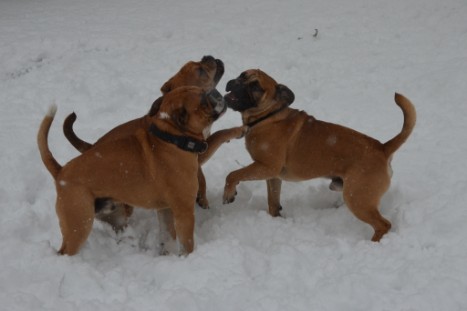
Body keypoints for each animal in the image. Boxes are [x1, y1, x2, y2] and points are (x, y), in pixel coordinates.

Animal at [38, 86, 227, 256]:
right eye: (203, 102)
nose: (216, 91)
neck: (172, 138)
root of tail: (61, 172)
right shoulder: (184, 211)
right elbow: (187, 244)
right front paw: (187, 259)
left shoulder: (165, 210)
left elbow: (167, 237)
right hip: (79, 225)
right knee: (64, 252)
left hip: (113, 215)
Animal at [222, 69, 416, 243]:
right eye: (242, 75)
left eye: (256, 86)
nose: (234, 83)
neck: (268, 116)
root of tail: (383, 148)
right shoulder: (273, 176)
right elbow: (273, 202)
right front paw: (275, 219)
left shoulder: (266, 167)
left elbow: (233, 174)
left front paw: (228, 193)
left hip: (358, 198)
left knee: (383, 224)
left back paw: (372, 244)